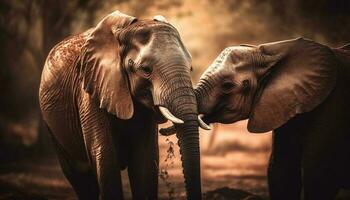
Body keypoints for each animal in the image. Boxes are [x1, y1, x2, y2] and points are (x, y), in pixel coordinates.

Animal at [39, 10, 202, 200]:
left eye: (190, 68)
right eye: (146, 70)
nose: (165, 131)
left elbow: (144, 162)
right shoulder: (90, 89)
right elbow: (105, 158)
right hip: (51, 126)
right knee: (80, 178)